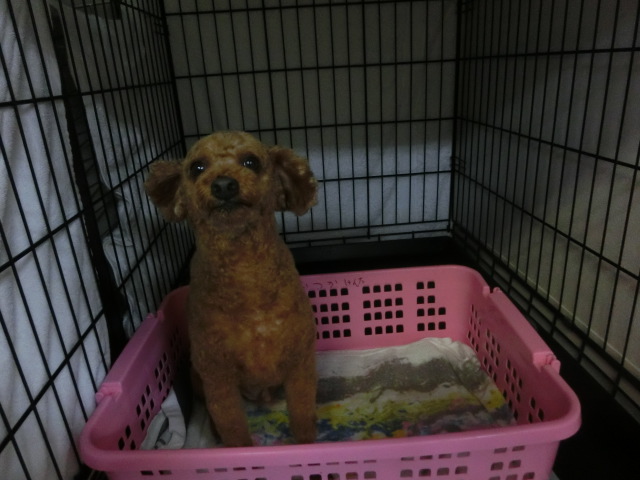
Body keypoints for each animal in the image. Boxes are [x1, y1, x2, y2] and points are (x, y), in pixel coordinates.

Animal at [144, 131, 318, 447]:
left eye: (251, 162)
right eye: (197, 167)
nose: (224, 184)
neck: (244, 272)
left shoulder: (299, 362)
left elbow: (302, 413)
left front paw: (306, 444)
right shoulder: (218, 377)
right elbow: (232, 426)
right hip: (197, 377)